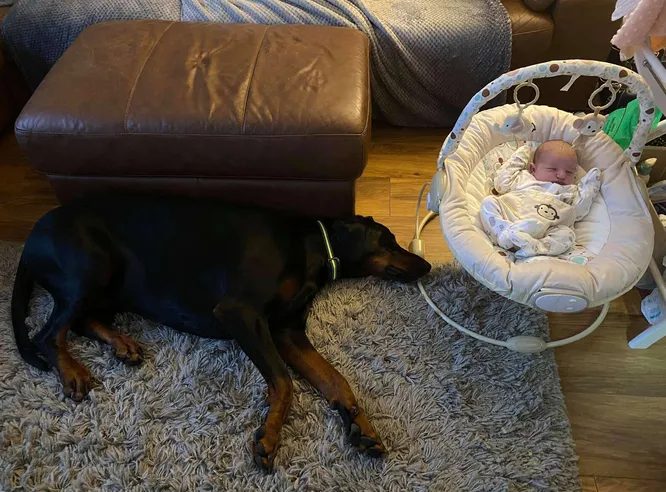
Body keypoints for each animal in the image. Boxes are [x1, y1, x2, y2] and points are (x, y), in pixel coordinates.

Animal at [13, 194, 434, 470]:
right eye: (389, 240)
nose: (427, 265)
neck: (312, 247)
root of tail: (29, 239)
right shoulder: (241, 313)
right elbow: (284, 381)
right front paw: (268, 438)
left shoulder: (288, 331)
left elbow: (336, 381)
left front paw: (362, 427)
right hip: (93, 264)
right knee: (48, 333)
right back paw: (73, 373)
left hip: (111, 284)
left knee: (82, 321)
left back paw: (122, 344)